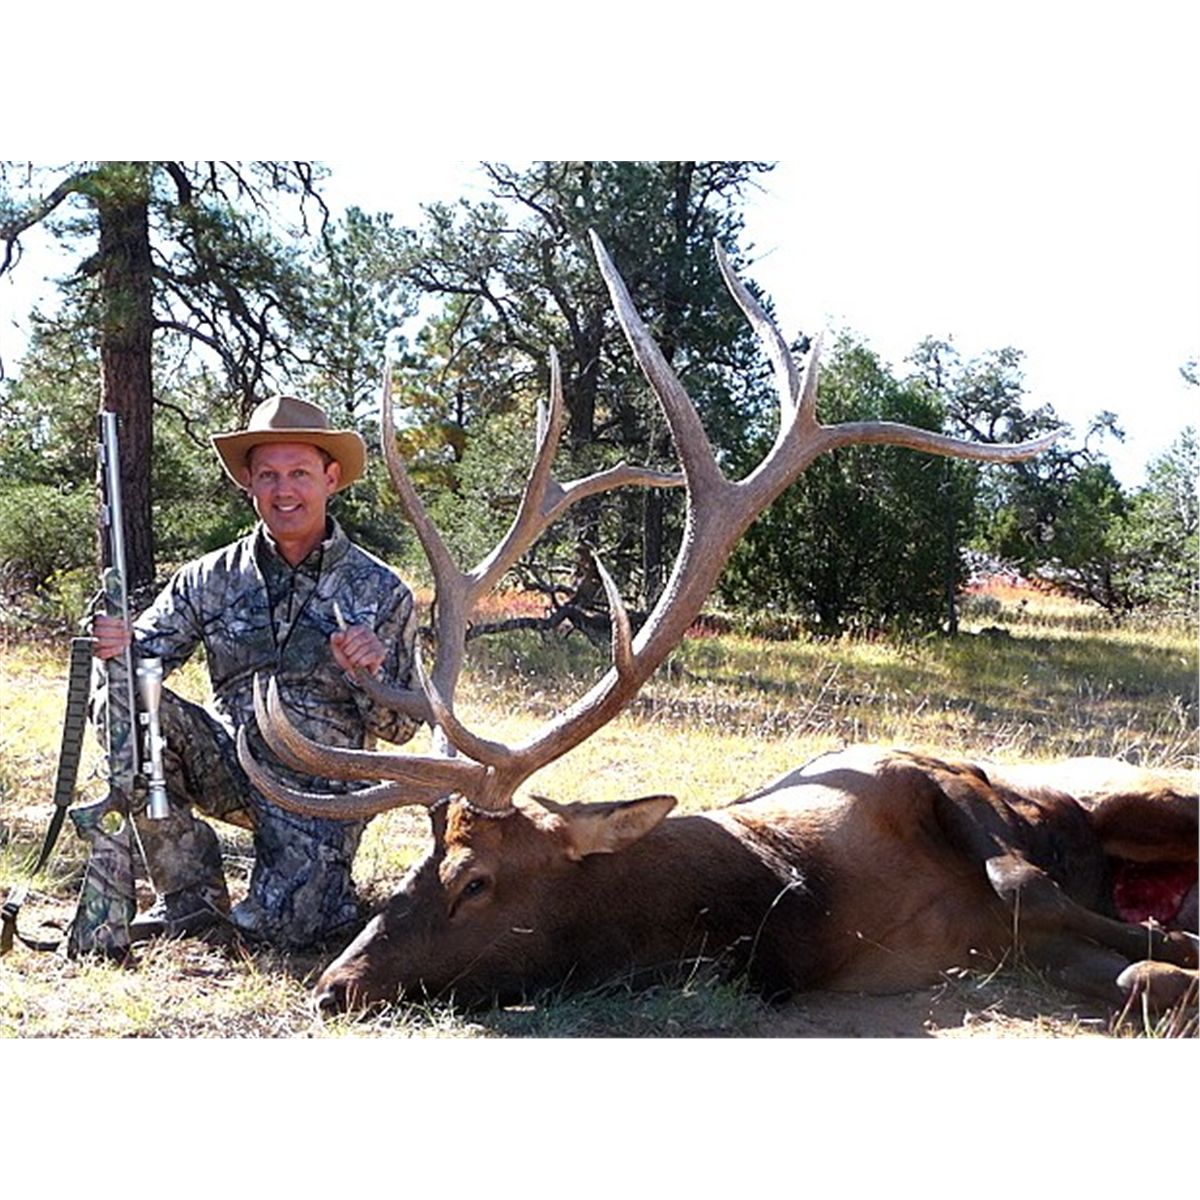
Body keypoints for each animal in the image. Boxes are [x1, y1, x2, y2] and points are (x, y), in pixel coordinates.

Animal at [237, 232, 1199, 1017]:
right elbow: (1131, 972)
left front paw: (1176, 936)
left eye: (474, 881)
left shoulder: (921, 771)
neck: (800, 901)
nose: (334, 986)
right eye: (413, 862)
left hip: (1142, 788)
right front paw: (1169, 946)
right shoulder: (1008, 952)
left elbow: (1024, 878)